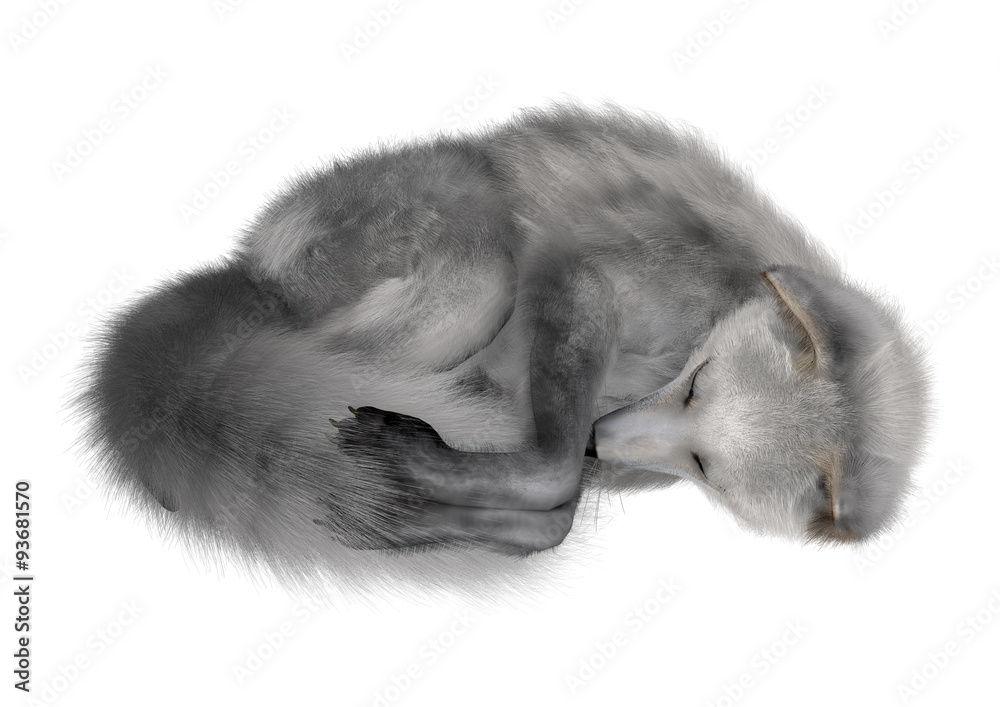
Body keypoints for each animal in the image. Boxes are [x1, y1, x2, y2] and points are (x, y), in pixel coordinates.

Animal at [74, 102, 930, 592]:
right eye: (699, 382)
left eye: (708, 467)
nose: (600, 437)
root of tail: (243, 266)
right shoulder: (583, 284)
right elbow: (550, 472)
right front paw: (415, 465)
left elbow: (555, 509)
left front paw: (423, 507)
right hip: (475, 286)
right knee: (299, 367)